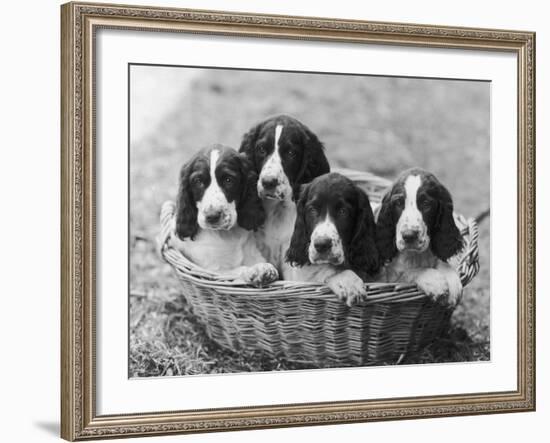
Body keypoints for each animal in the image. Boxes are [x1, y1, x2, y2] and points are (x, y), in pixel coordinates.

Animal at [167, 144, 280, 286]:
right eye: (198, 181)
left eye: (228, 180)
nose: (212, 216)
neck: (227, 236)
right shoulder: (212, 271)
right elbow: (236, 270)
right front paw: (257, 270)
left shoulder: (253, 254)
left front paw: (263, 268)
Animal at [378, 167, 464, 306]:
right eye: (398, 203)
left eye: (426, 203)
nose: (409, 236)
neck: (415, 256)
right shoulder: (388, 279)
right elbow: (406, 275)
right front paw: (434, 280)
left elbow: (441, 262)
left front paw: (452, 280)